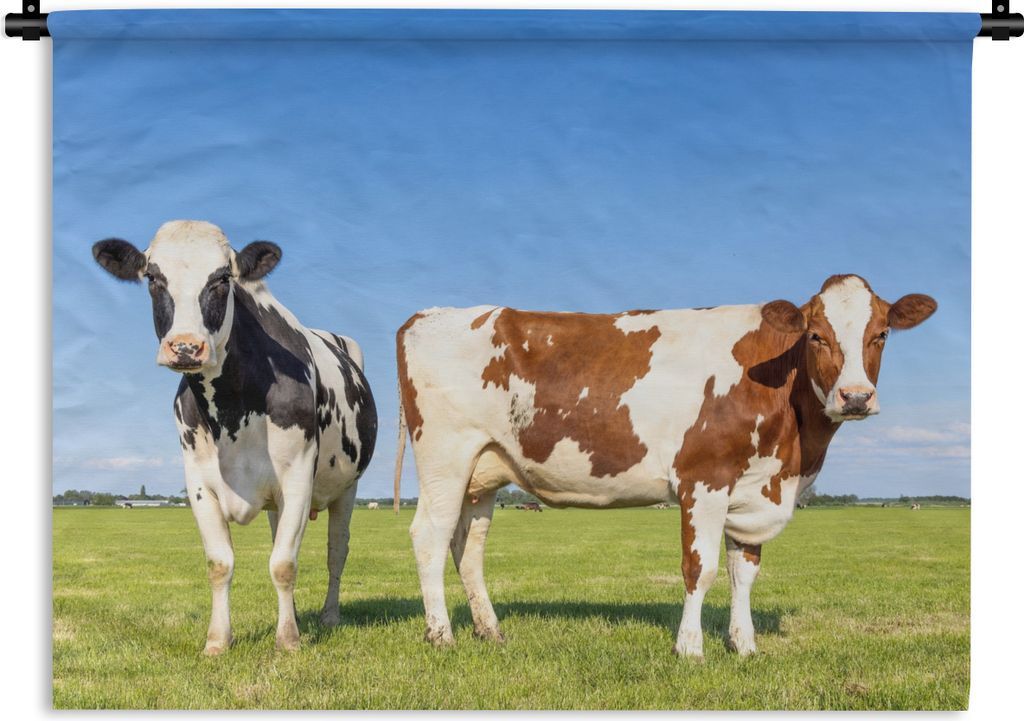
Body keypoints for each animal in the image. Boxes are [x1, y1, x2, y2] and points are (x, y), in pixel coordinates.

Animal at [92, 220, 377, 654]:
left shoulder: (298, 476)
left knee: (336, 551)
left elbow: (284, 563)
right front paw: (218, 640)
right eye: (153, 278)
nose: (186, 347)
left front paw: (288, 641)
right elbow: (221, 563)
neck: (230, 409)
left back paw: (329, 616)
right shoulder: (198, 482)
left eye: (222, 278)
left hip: (346, 488)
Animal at [393, 274, 935, 656]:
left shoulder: (755, 488)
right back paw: (441, 634)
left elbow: (744, 571)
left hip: (482, 471)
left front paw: (744, 645)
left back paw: (490, 631)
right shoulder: (705, 478)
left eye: (882, 334)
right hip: (445, 455)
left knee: (468, 545)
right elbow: (702, 568)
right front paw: (690, 648)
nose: (856, 397)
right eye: (817, 335)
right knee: (429, 536)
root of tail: (427, 315)